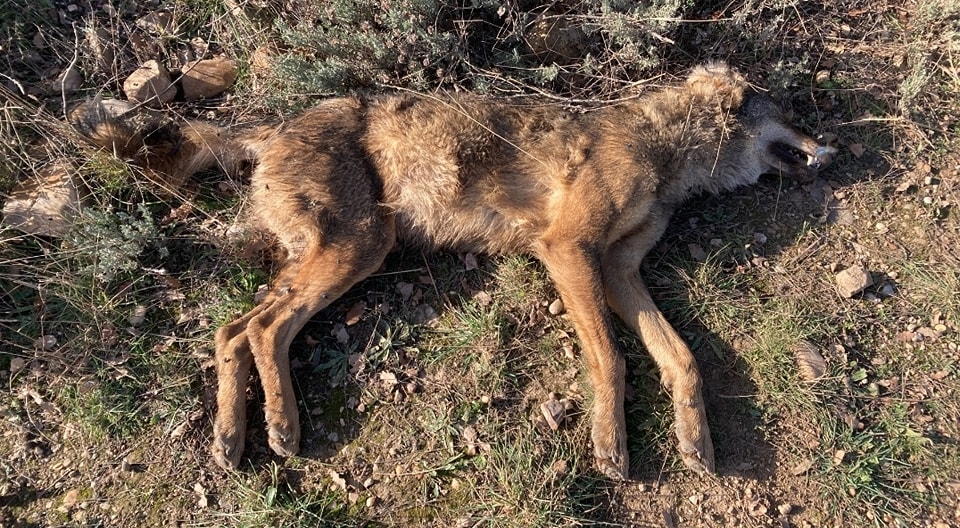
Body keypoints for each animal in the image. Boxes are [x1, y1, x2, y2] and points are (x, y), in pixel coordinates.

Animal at [71, 63, 834, 479]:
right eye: (793, 116)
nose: (834, 147)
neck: (668, 151)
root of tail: (271, 127)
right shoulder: (568, 251)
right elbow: (613, 360)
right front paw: (611, 444)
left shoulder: (620, 269)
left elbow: (681, 359)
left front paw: (694, 439)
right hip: (360, 249)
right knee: (261, 331)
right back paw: (282, 428)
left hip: (335, 257)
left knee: (233, 331)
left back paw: (233, 439)